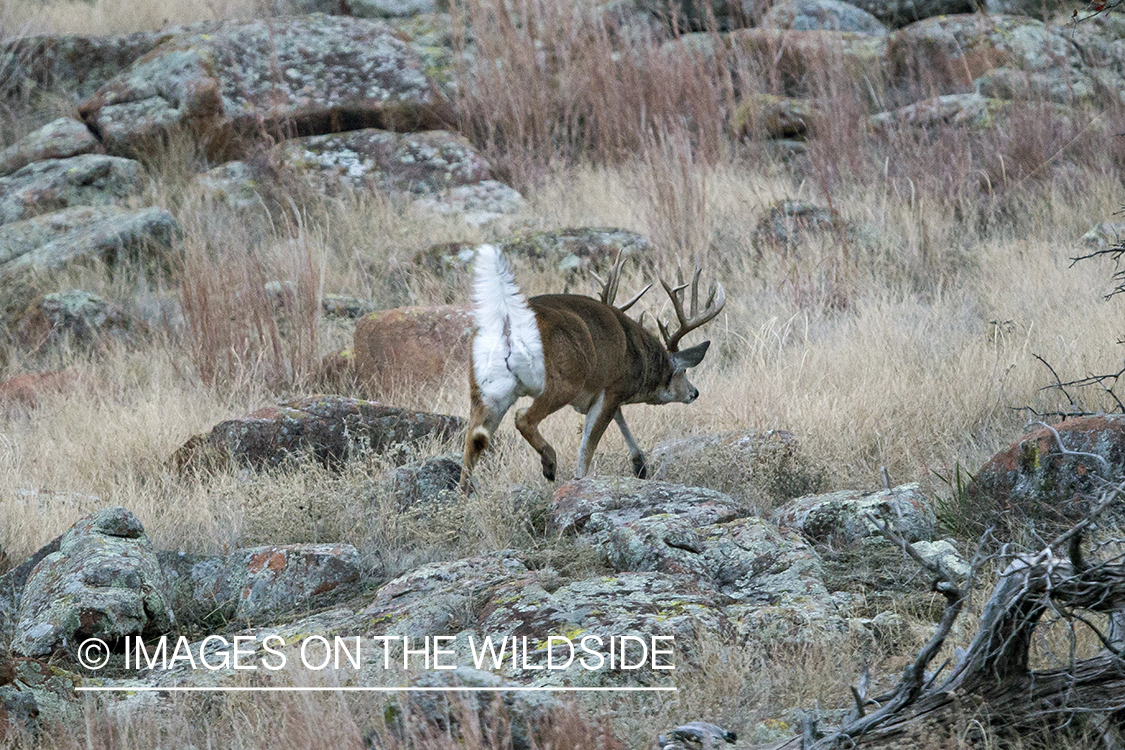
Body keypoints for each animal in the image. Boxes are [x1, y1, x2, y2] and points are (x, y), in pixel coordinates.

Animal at [459, 241, 729, 492]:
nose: (694, 392)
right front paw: (583, 479)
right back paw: (550, 463)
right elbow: (588, 445)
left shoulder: (600, 393)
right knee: (523, 418)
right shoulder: (612, 387)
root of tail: (510, 324)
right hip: (563, 381)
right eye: (682, 371)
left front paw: (639, 464)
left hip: (486, 387)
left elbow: (616, 419)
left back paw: (464, 495)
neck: (638, 355)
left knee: (474, 438)